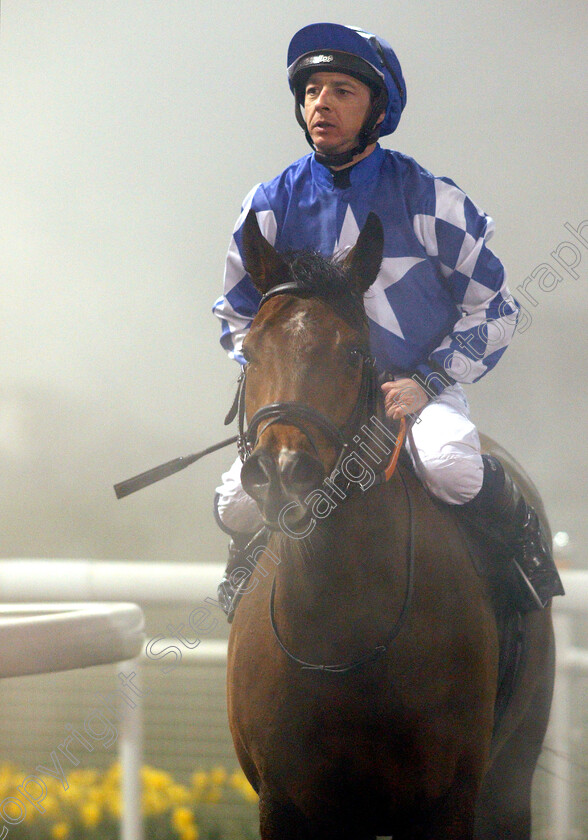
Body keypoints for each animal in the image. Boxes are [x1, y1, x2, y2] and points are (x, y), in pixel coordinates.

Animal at [226, 210, 556, 840]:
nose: (282, 470)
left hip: (510, 781)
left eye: (355, 350)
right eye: (250, 352)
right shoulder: (284, 803)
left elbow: (489, 301)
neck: (343, 635)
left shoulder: (448, 801)